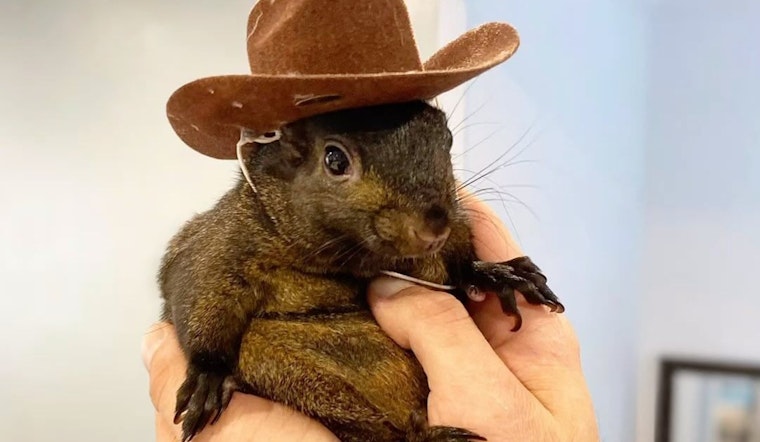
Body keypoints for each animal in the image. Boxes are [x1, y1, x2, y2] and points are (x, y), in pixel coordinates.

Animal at [158, 100, 564, 442]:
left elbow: (457, 268)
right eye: (335, 160)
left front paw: (495, 274)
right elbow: (200, 293)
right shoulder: (221, 244)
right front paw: (207, 376)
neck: (350, 259)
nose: (434, 228)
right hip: (277, 363)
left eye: (446, 139)